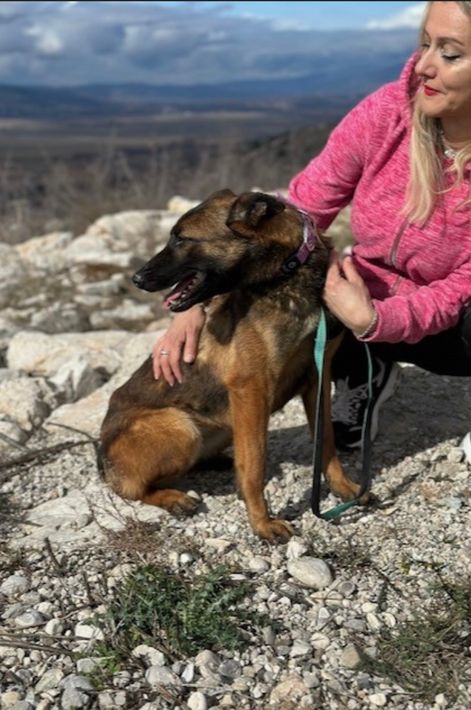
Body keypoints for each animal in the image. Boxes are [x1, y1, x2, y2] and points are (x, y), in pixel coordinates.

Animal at [99, 189, 361, 541]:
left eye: (181, 238)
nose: (136, 278)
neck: (288, 273)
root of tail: (101, 455)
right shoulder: (251, 390)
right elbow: (254, 465)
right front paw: (262, 523)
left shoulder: (318, 377)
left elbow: (327, 442)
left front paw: (342, 486)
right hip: (182, 427)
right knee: (133, 489)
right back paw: (173, 498)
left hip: (222, 425)